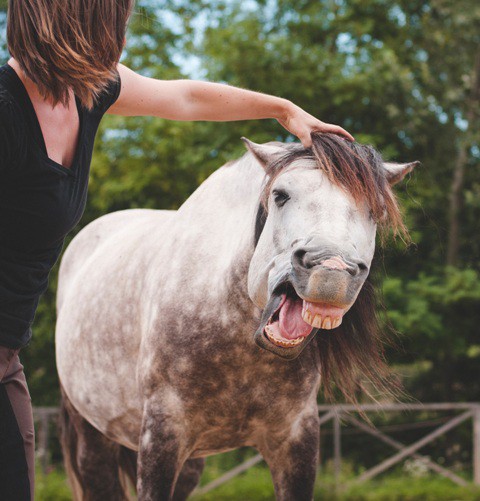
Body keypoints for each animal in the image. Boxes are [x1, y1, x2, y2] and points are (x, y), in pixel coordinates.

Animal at [55, 134, 416, 500]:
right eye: (280, 195)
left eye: (375, 211)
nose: (331, 269)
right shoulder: (162, 432)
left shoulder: (296, 437)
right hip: (94, 434)